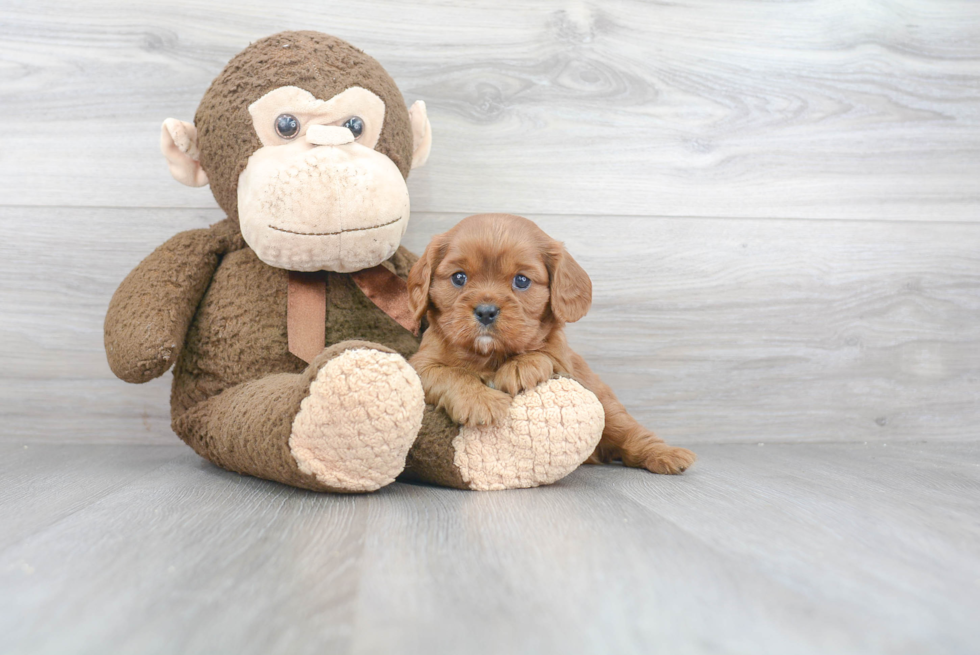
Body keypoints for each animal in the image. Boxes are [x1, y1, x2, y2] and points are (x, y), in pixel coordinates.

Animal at [406, 215, 696, 476]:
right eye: (459, 278)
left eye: (521, 280)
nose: (486, 311)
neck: (489, 356)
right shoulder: (421, 365)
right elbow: (452, 373)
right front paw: (479, 400)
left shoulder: (564, 359)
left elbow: (543, 352)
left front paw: (519, 368)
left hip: (607, 407)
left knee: (632, 434)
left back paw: (667, 455)